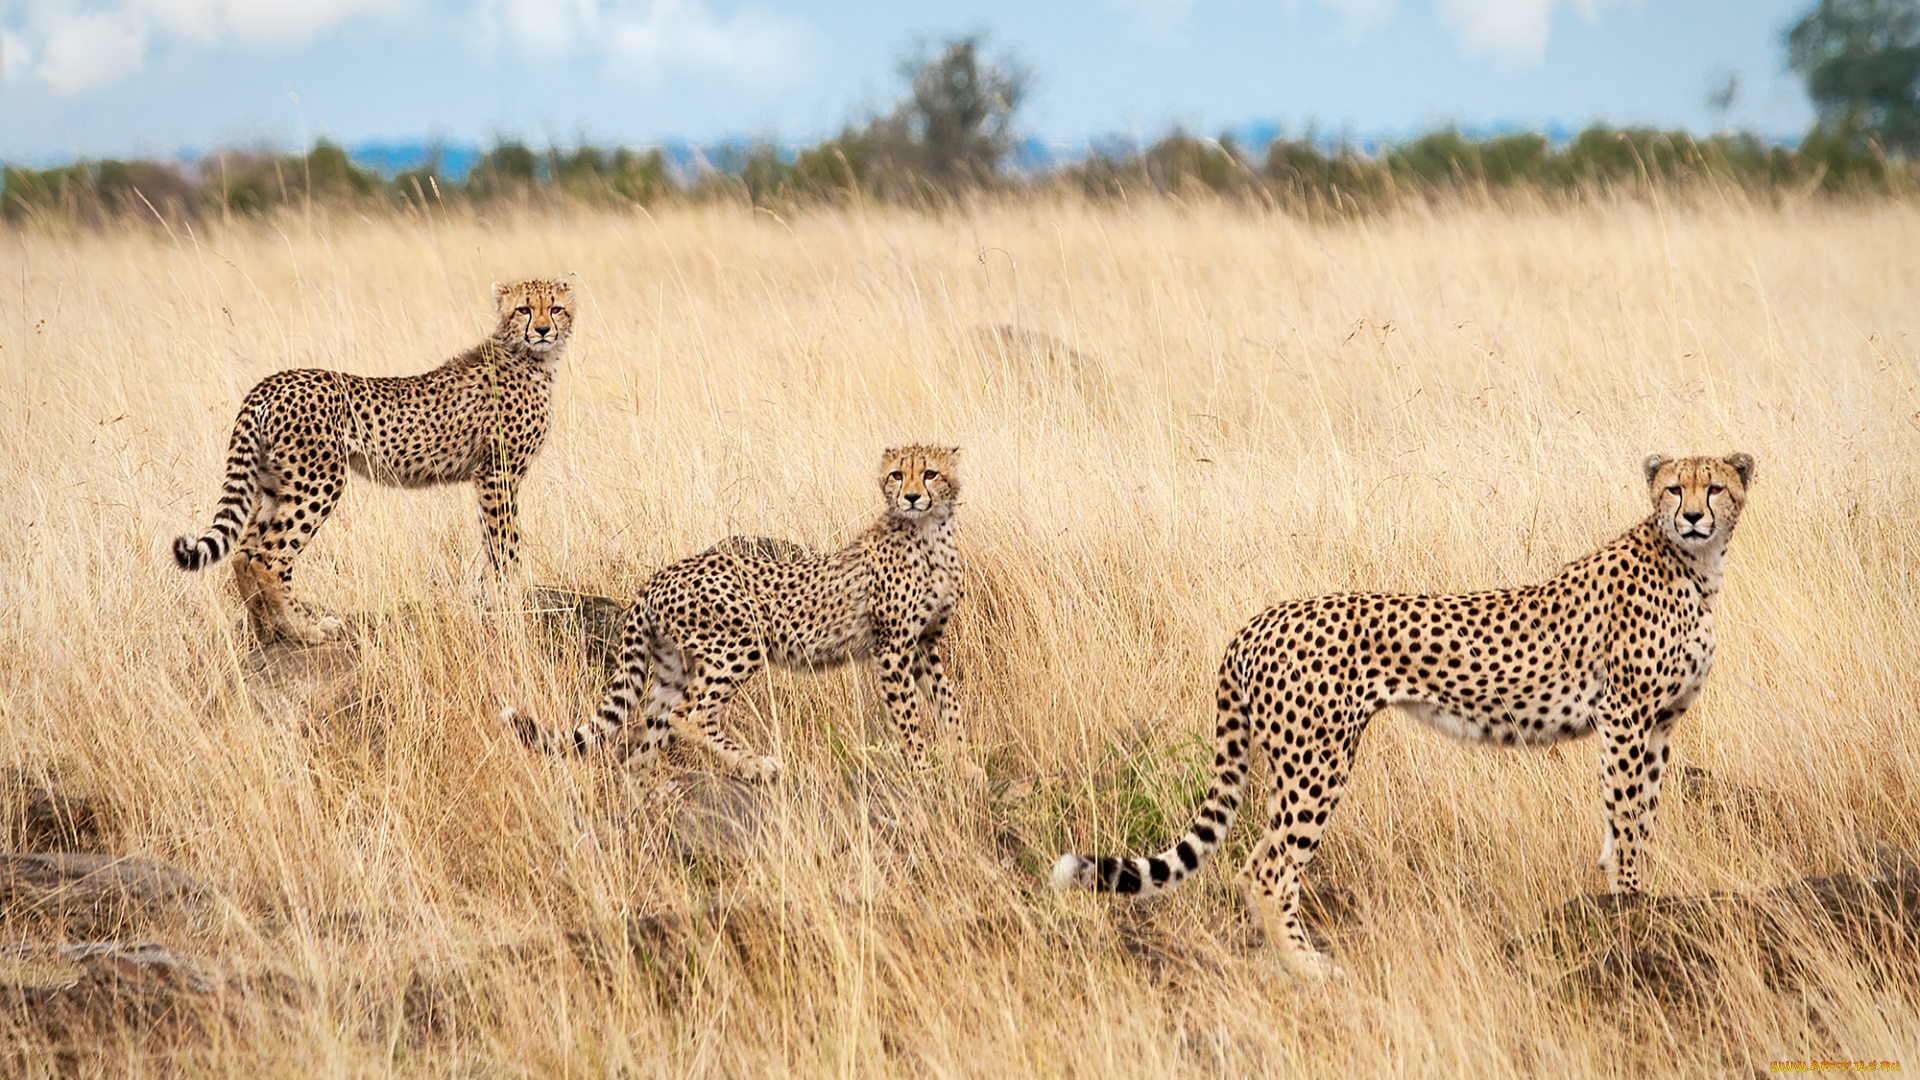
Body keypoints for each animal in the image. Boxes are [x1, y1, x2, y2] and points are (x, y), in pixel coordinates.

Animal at [174, 276, 568, 641]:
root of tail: (273, 381)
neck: (529, 357)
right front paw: (508, 602)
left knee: (243, 553)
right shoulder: (497, 474)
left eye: (555, 308)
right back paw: (306, 630)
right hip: (318, 484)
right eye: (524, 309)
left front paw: (495, 599)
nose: (543, 330)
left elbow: (494, 541)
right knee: (269, 558)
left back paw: (269, 631)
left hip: (273, 485)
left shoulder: (491, 477)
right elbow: (505, 544)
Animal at [506, 441, 967, 776]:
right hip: (741, 641)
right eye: (897, 474)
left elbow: (948, 703)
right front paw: (922, 769)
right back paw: (758, 765)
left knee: (646, 736)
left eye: (930, 473)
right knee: (689, 716)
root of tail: (659, 575)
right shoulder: (893, 647)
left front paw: (965, 763)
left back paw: (647, 795)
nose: (911, 497)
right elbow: (908, 716)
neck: (930, 533)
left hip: (672, 668)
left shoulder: (924, 644)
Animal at [1059, 453, 1758, 976]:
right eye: (1675, 487)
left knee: (1261, 860)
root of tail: (1259, 620)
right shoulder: (1627, 718)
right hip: (1317, 763)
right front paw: (1633, 907)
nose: (1693, 516)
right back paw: (1307, 968)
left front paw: (1626, 896)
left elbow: (1631, 817)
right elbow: (1631, 814)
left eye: (1715, 486)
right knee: (1268, 868)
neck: (1696, 567)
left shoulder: (1657, 724)